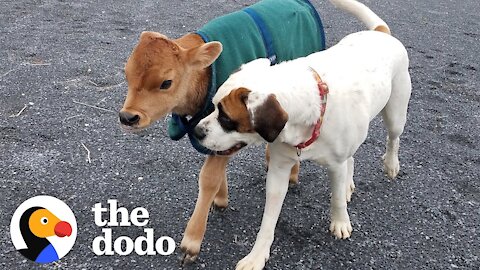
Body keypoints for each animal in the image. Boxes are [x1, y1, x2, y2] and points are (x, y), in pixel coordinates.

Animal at [193, 4, 410, 270]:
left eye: (226, 118)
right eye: (213, 106)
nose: (197, 131)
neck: (309, 110)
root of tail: (381, 33)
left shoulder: (335, 165)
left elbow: (336, 199)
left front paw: (340, 221)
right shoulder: (279, 168)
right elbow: (269, 217)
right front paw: (257, 254)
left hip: (396, 111)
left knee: (393, 138)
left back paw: (390, 164)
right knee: (352, 157)